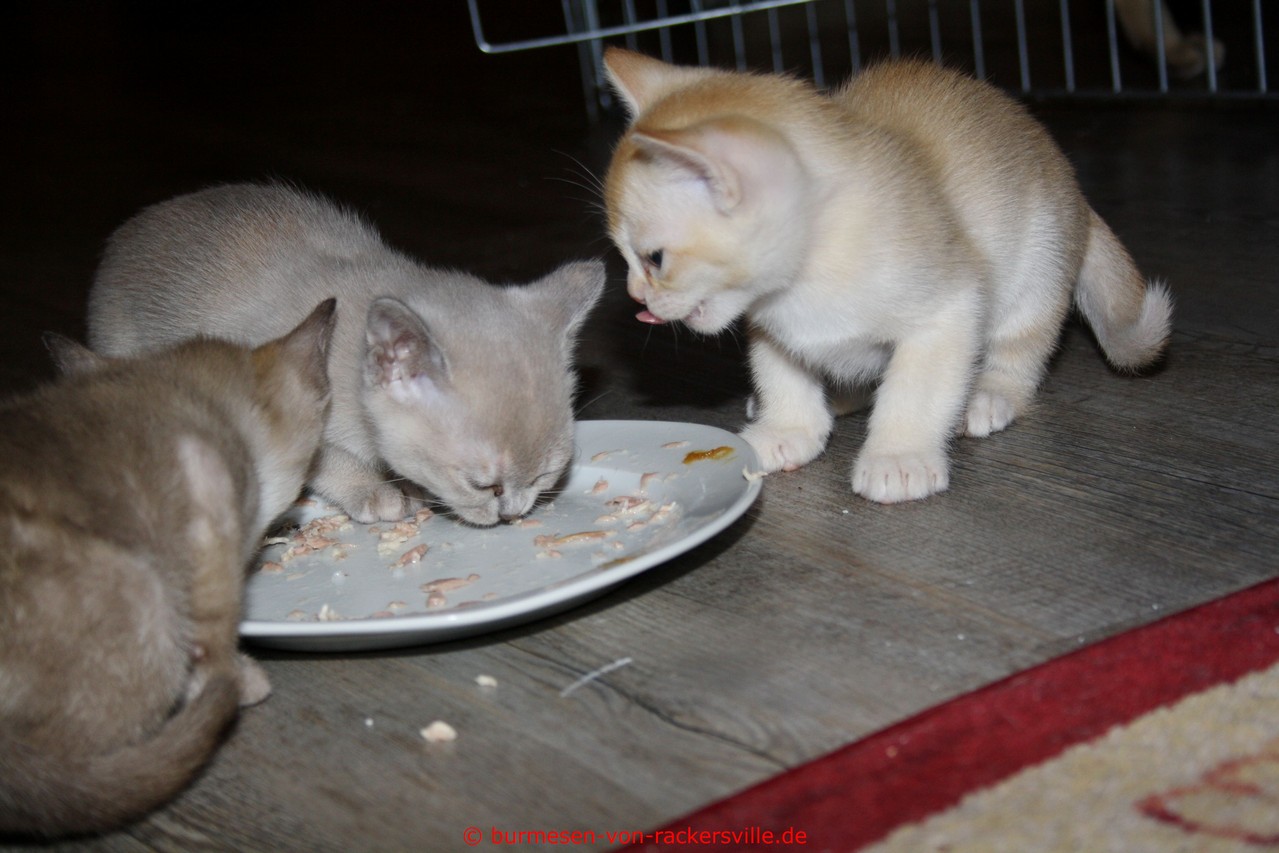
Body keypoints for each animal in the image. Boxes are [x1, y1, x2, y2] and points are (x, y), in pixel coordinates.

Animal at [90, 184, 603, 524]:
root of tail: (123, 235)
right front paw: (374, 491)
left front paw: (407, 482)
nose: (512, 513)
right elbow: (327, 458)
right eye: (484, 486)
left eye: (546, 476)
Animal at [603, 50, 1171, 503]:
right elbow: (783, 374)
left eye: (654, 259)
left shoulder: (949, 309)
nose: (634, 294)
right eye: (625, 257)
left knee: (1019, 353)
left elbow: (914, 391)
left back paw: (989, 394)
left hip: (1036, 266)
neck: (807, 278)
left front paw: (899, 458)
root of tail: (1070, 184)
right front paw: (787, 427)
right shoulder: (771, 326)